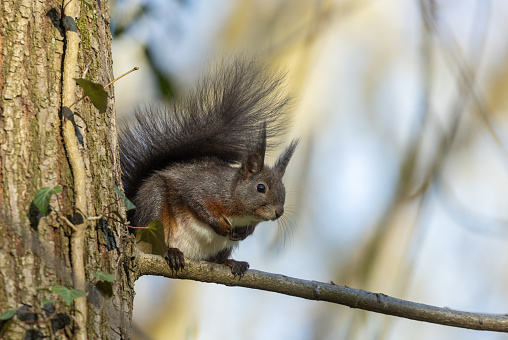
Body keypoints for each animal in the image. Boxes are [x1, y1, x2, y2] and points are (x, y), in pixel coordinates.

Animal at [118, 58, 298, 276]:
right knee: (155, 241)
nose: (279, 212)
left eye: (284, 190)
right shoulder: (203, 187)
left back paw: (231, 262)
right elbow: (197, 202)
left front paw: (245, 232)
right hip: (153, 207)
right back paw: (171, 252)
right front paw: (219, 225)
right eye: (261, 187)